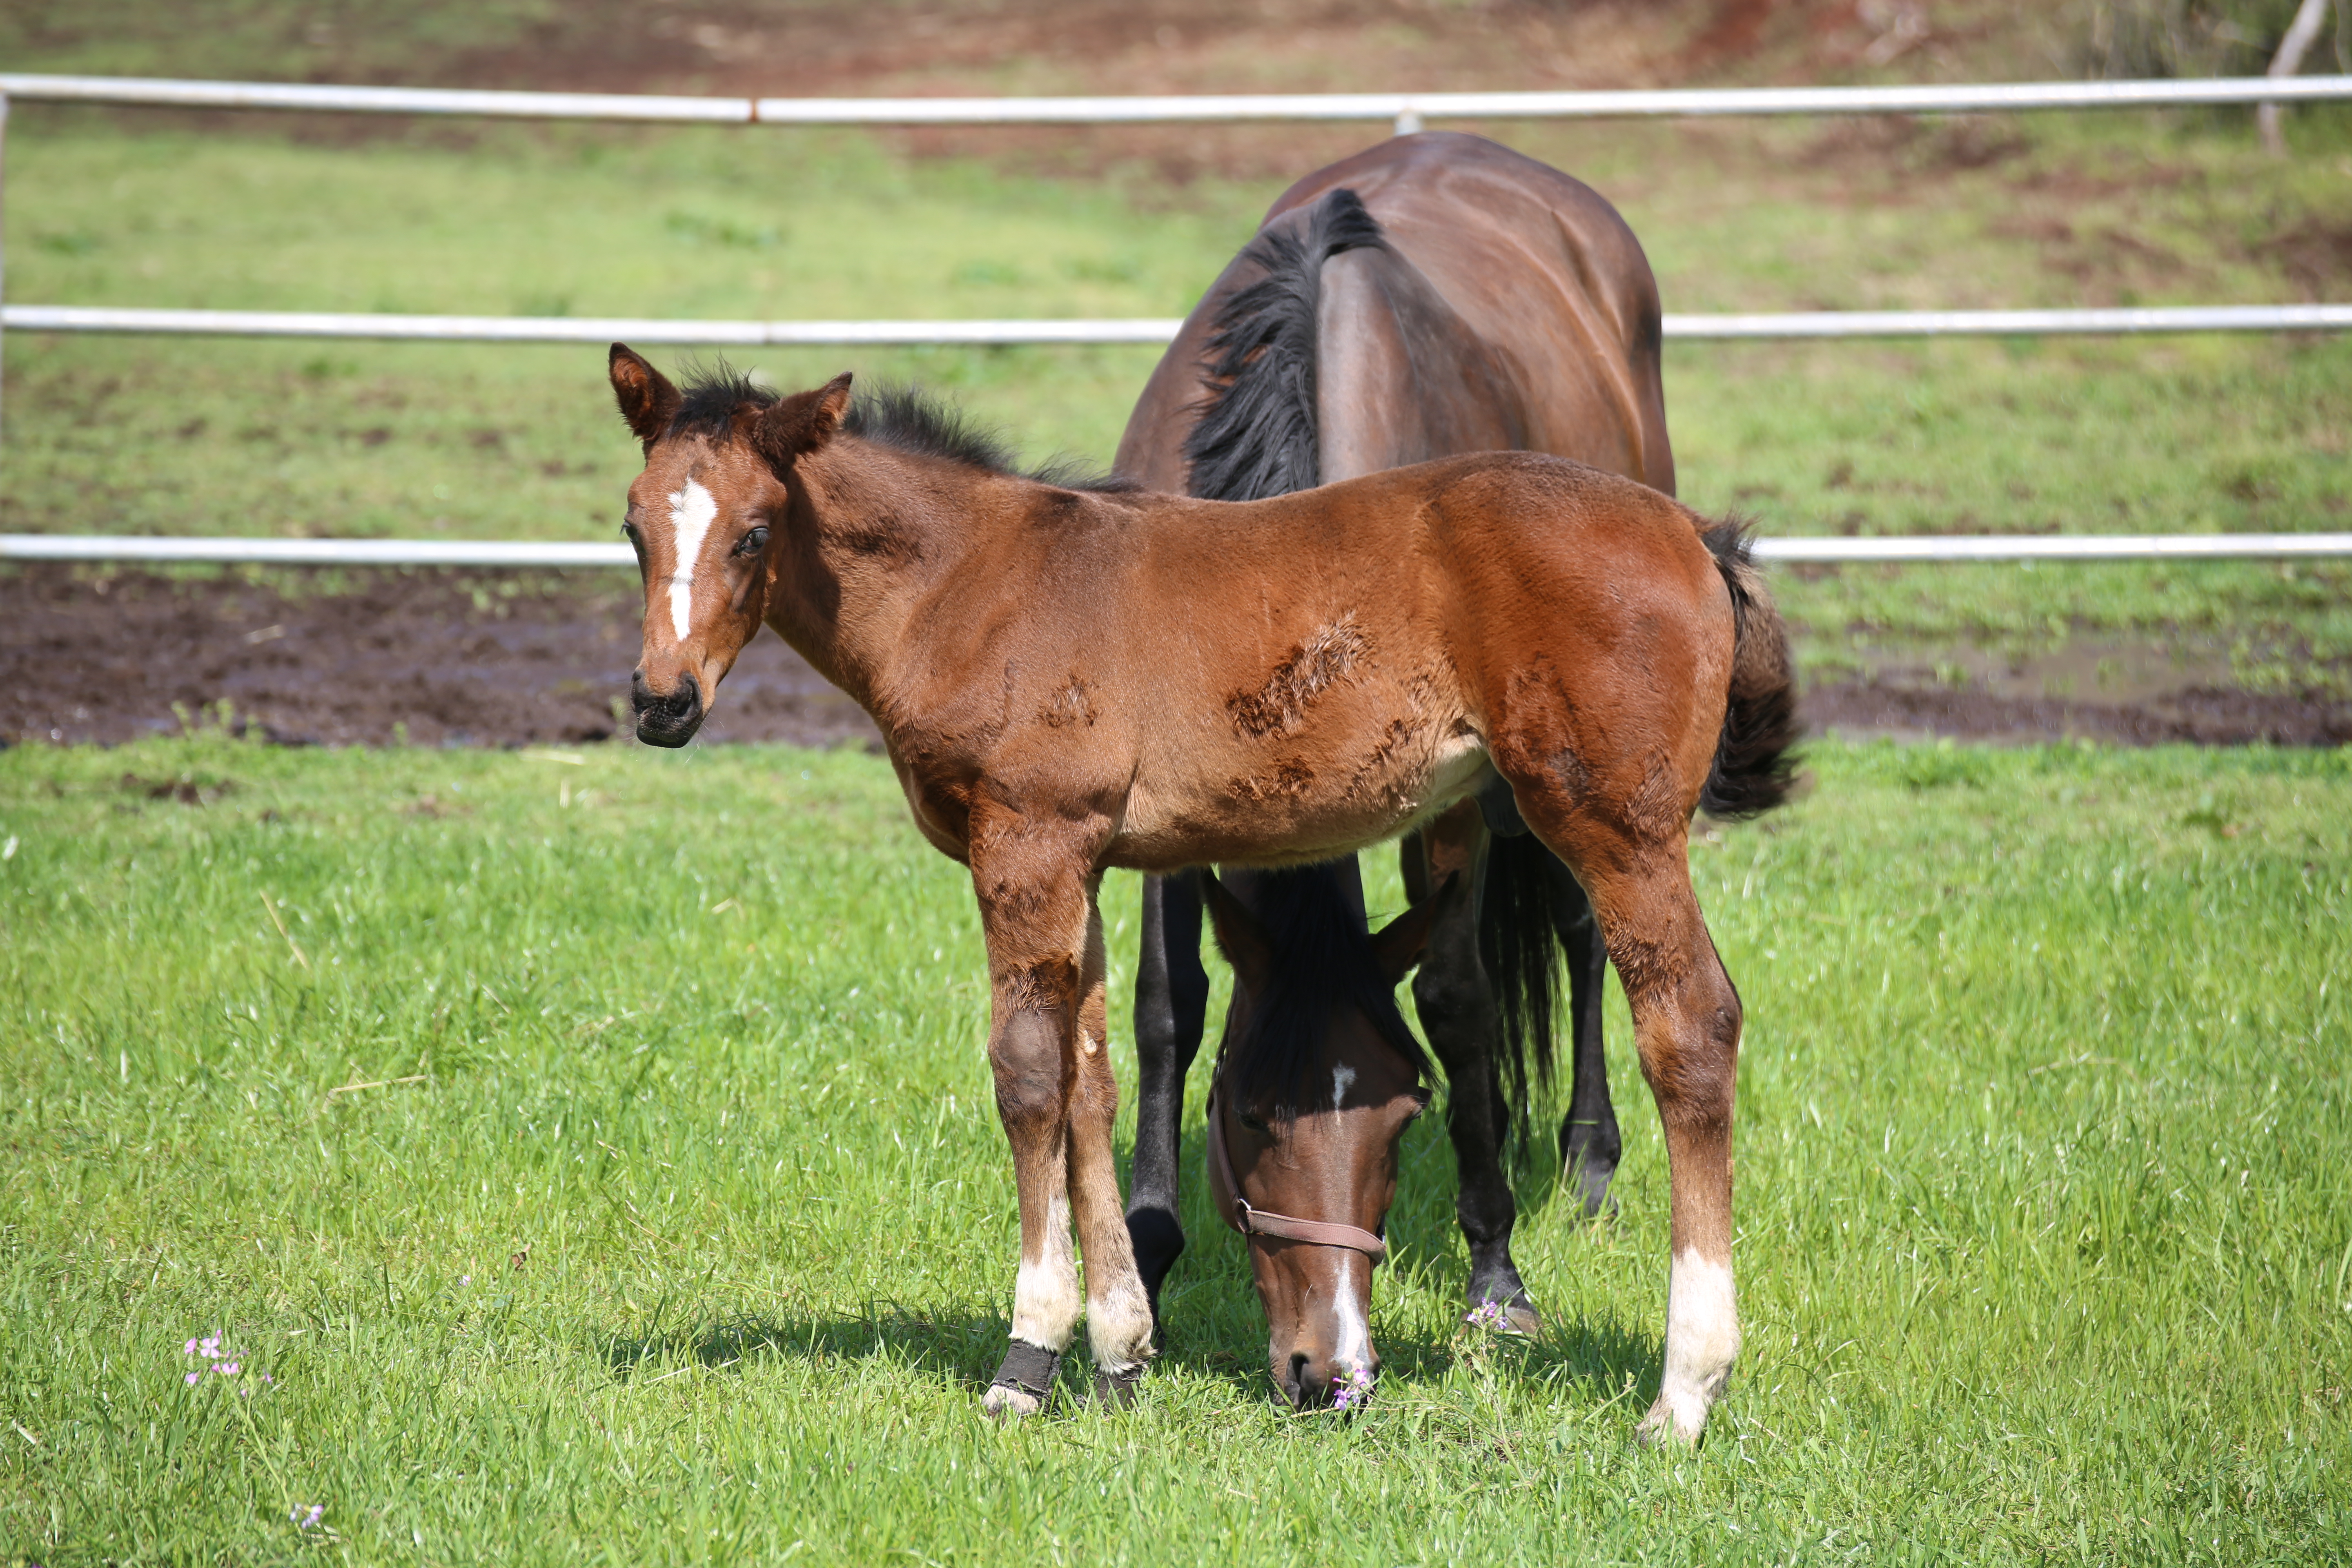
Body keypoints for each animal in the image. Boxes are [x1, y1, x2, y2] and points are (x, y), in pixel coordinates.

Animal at [611, 334, 1797, 1448]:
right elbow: (1092, 1081)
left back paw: (1683, 1390)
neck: (970, 585)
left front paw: (1026, 1358)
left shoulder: (1027, 843)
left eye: (754, 532)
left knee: (1690, 1026)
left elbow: (1027, 1077)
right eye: (632, 529)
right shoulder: (1083, 857)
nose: (663, 702)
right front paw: (1120, 1349)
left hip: (1615, 828)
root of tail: (1694, 535)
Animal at [1110, 131, 1703, 1401]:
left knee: (1582, 933)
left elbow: (1457, 997)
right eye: (1248, 1114)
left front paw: (1496, 1269)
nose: (1328, 1371)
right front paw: (1145, 1250)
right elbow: (1166, 1006)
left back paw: (1587, 1160)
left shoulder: (1458, 812)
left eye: (1401, 1120)